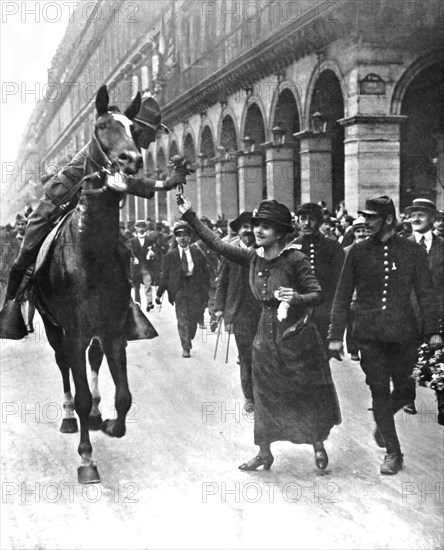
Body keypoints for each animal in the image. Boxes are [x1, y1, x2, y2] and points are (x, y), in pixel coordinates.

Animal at [34, 84, 147, 486]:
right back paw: (70, 417)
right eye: (101, 127)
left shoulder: (113, 329)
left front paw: (112, 424)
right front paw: (86, 458)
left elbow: (124, 396)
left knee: (91, 361)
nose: (131, 160)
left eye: (134, 128)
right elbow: (80, 391)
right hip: (55, 326)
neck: (90, 250)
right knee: (65, 365)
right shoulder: (73, 328)